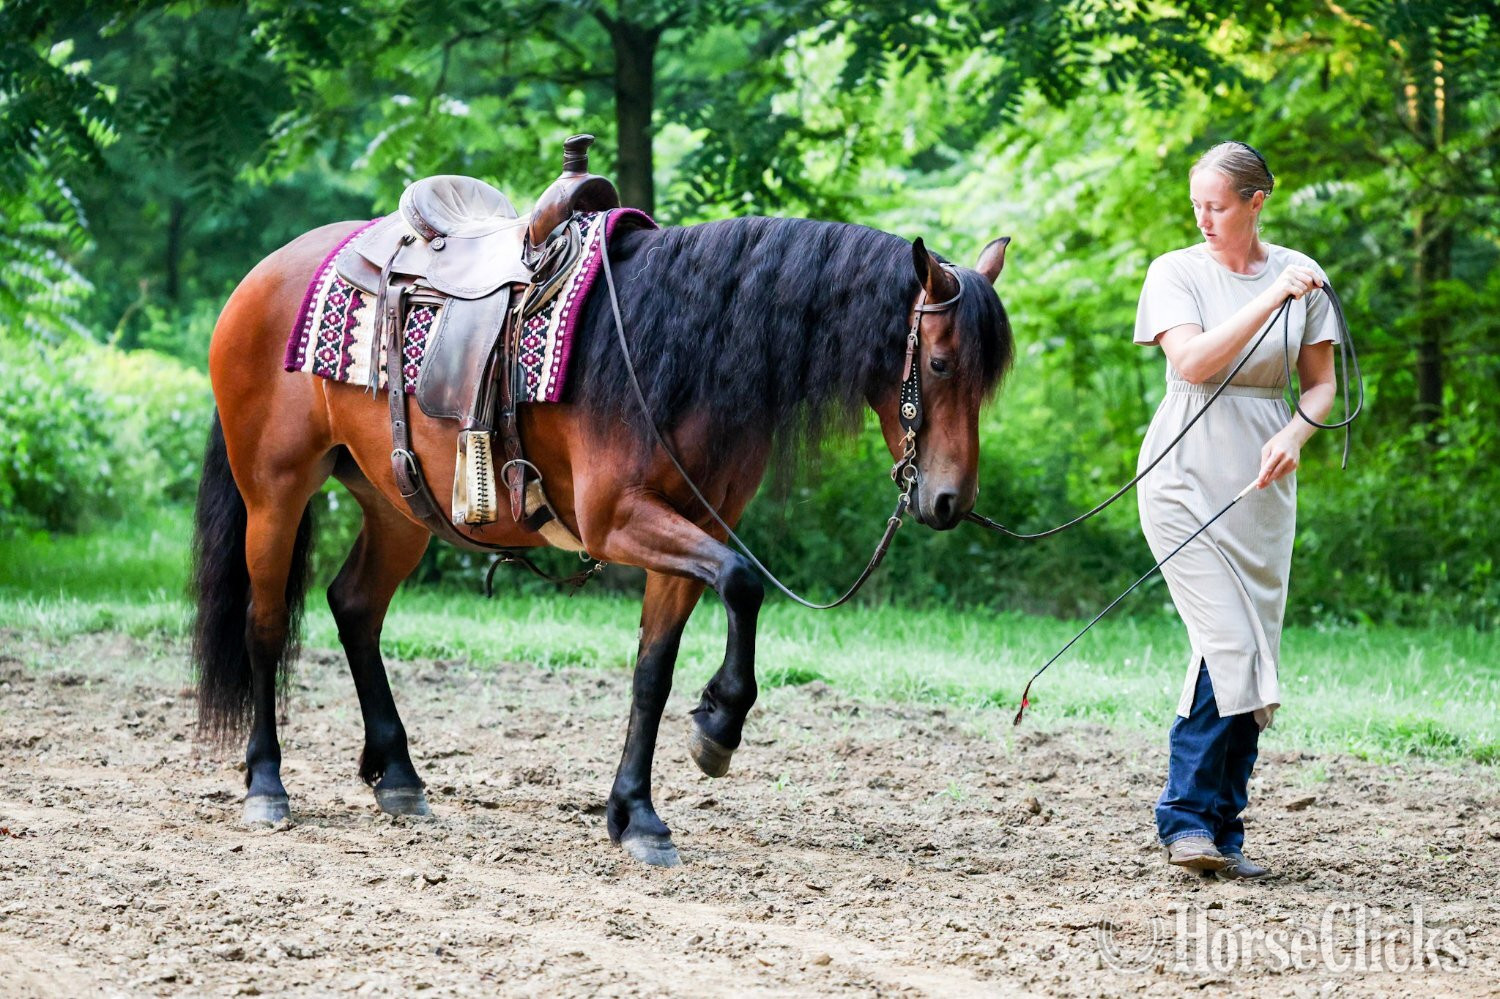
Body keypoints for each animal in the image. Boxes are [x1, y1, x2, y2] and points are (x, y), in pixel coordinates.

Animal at [191, 212, 1014, 867]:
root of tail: (262, 276)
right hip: (275, 492)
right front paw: (719, 724)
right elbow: (743, 582)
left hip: (396, 506)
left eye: (987, 381)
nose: (949, 501)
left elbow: (653, 671)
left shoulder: (691, 529)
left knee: (355, 606)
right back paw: (266, 783)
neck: (672, 351)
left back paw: (397, 774)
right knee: (265, 622)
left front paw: (636, 814)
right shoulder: (620, 522)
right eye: (940, 363)